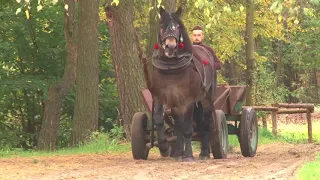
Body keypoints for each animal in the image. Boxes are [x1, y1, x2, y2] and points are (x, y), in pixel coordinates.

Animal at [148, 7, 218, 162]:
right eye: (161, 26)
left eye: (178, 27)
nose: (171, 46)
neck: (171, 70)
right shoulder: (160, 97)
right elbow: (159, 120)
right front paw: (164, 148)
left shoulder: (189, 101)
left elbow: (187, 129)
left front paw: (189, 155)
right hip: (177, 104)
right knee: (178, 125)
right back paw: (178, 153)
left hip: (206, 99)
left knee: (206, 123)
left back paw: (204, 153)